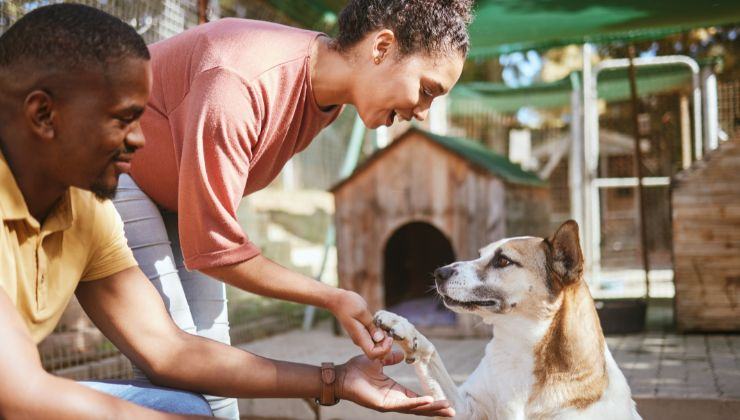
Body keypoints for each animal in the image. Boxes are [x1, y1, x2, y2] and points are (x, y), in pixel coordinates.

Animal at [376, 221, 640, 418]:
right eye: (480, 255)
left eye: (503, 260)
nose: (439, 273)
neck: (520, 347)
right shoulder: (463, 409)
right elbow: (430, 354)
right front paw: (403, 328)